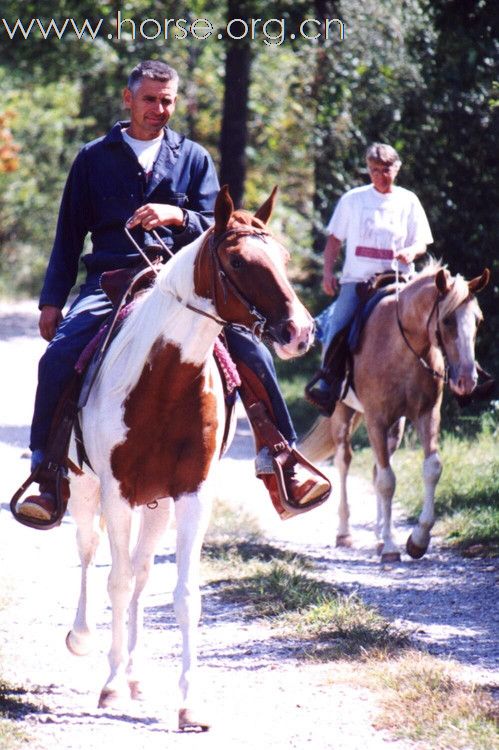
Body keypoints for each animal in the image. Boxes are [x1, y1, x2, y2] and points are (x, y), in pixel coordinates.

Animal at [63, 185, 312, 732]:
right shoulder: (116, 494)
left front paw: (188, 703)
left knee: (140, 572)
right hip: (85, 490)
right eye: (238, 261)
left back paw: (135, 675)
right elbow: (113, 581)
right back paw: (85, 640)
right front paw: (110, 686)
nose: (301, 332)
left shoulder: (191, 495)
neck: (161, 381)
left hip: (157, 504)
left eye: (284, 258)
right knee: (90, 553)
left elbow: (182, 596)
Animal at [298, 262, 490, 560]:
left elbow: (430, 468)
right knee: (344, 461)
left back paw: (378, 534)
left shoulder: (427, 415)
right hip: (343, 415)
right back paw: (345, 533)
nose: (467, 380)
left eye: (478, 320)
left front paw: (417, 540)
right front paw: (390, 547)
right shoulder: (376, 419)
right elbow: (387, 481)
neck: (403, 346)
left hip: (395, 428)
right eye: (447, 320)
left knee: (377, 467)